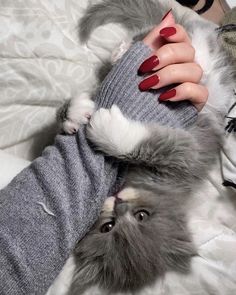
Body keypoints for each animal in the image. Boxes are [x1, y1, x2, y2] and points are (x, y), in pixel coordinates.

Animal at [55, 0, 236, 295]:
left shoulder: (188, 155)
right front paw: (72, 113)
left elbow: (153, 143)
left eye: (141, 216)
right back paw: (122, 51)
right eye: (108, 226)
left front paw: (107, 128)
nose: (118, 204)